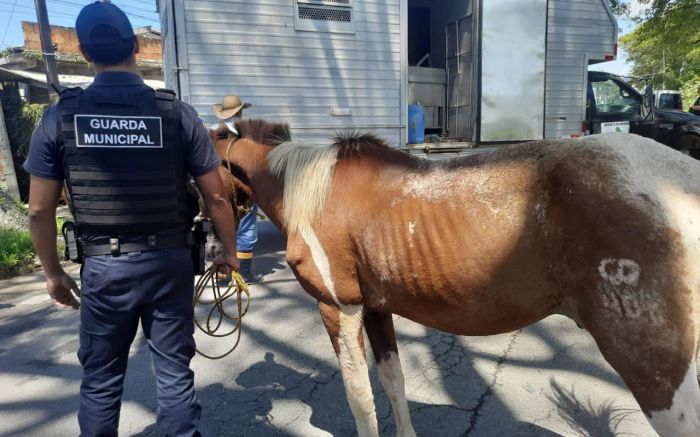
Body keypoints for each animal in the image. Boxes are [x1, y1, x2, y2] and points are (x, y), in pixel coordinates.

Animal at [212, 118, 700, 436]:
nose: (218, 254)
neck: (309, 188)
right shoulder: (376, 310)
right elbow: (393, 385)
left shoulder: (339, 308)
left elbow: (360, 398)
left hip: (655, 368)